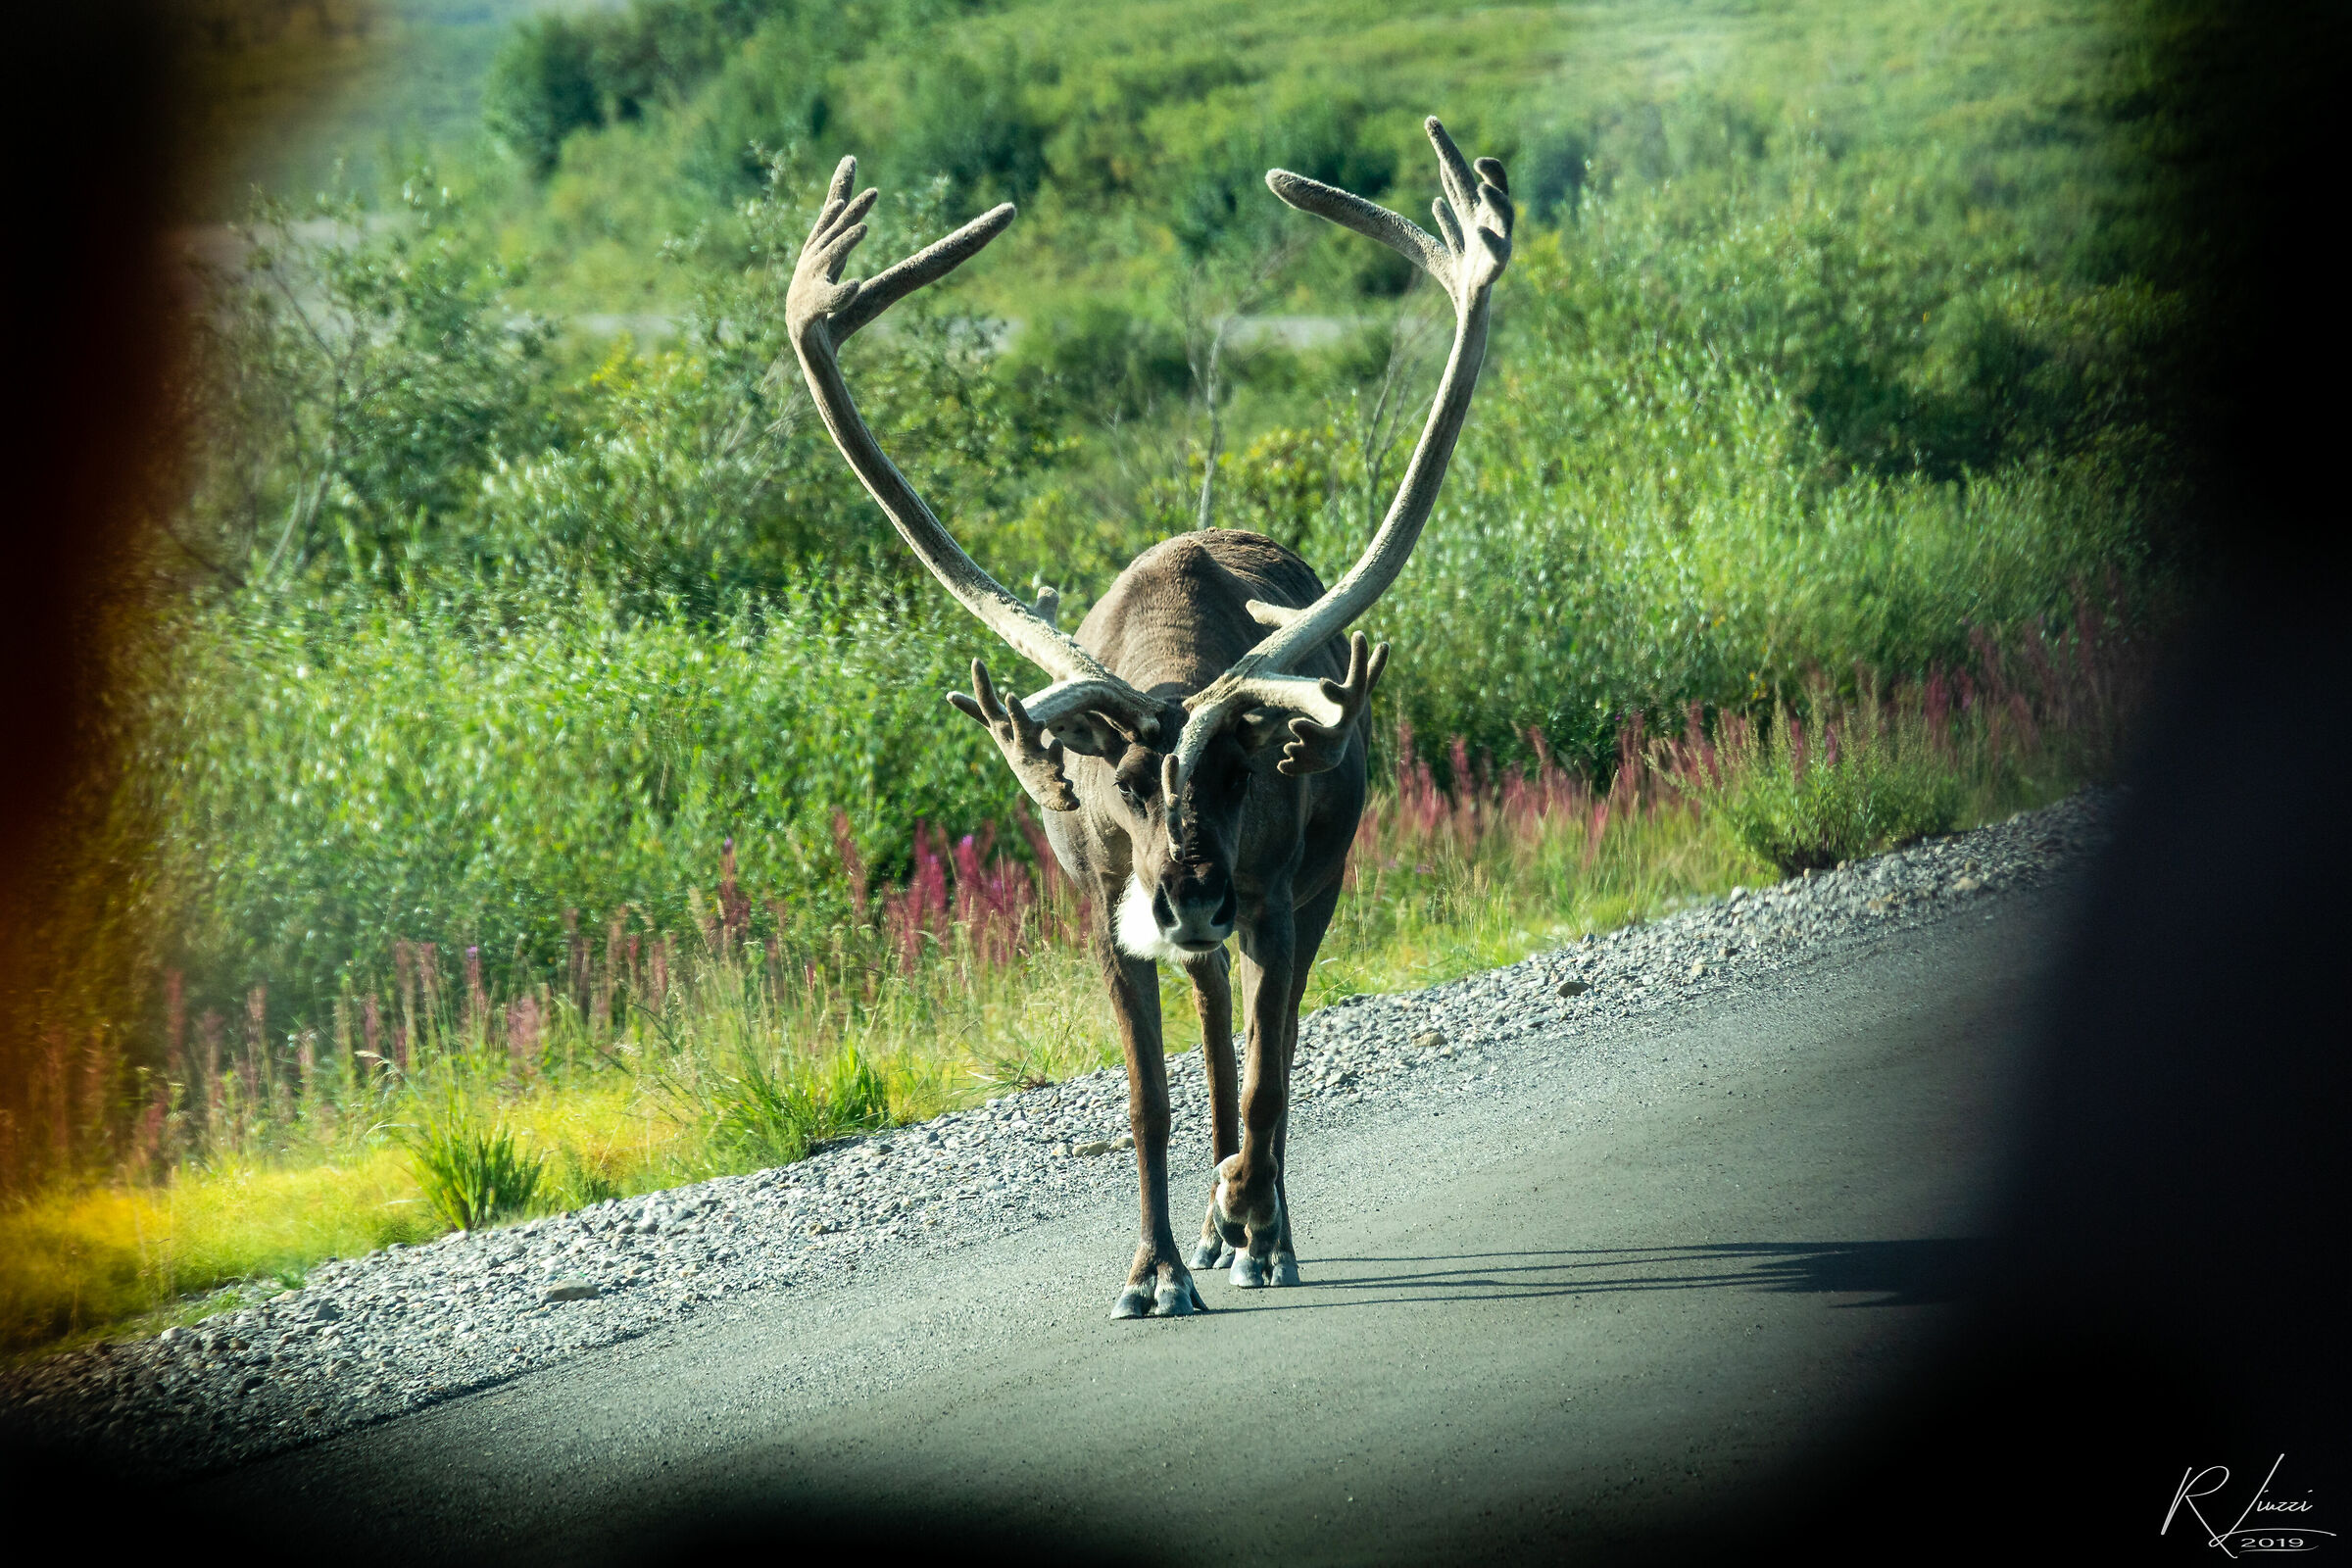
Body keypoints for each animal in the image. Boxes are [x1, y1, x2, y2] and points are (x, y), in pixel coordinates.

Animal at [786, 116, 1513, 1318]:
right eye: (1121, 783)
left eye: (1243, 773)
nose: (1188, 893)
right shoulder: (1103, 911)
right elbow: (1147, 1100)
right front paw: (1154, 1270)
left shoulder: (1274, 893)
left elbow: (1270, 1076)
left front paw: (1249, 1216)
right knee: (1215, 1025)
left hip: (1311, 886)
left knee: (1270, 1045)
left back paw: (1259, 1223)